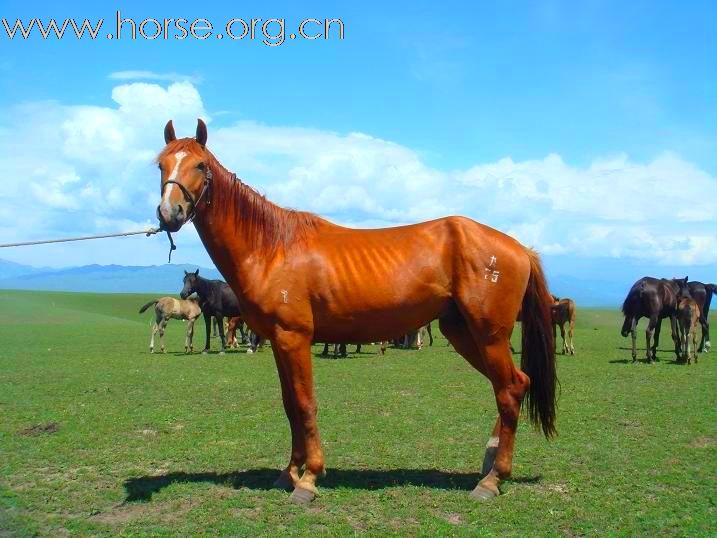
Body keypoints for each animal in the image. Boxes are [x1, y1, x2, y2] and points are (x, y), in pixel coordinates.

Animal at [154, 117, 556, 502]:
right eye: (160, 164)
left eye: (201, 165)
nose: (169, 212)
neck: (272, 247)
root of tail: (520, 248)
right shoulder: (280, 343)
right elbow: (289, 406)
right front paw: (289, 473)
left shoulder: (294, 339)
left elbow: (305, 404)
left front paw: (309, 479)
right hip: (461, 332)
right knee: (513, 385)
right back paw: (489, 462)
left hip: (488, 335)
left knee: (509, 390)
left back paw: (492, 480)